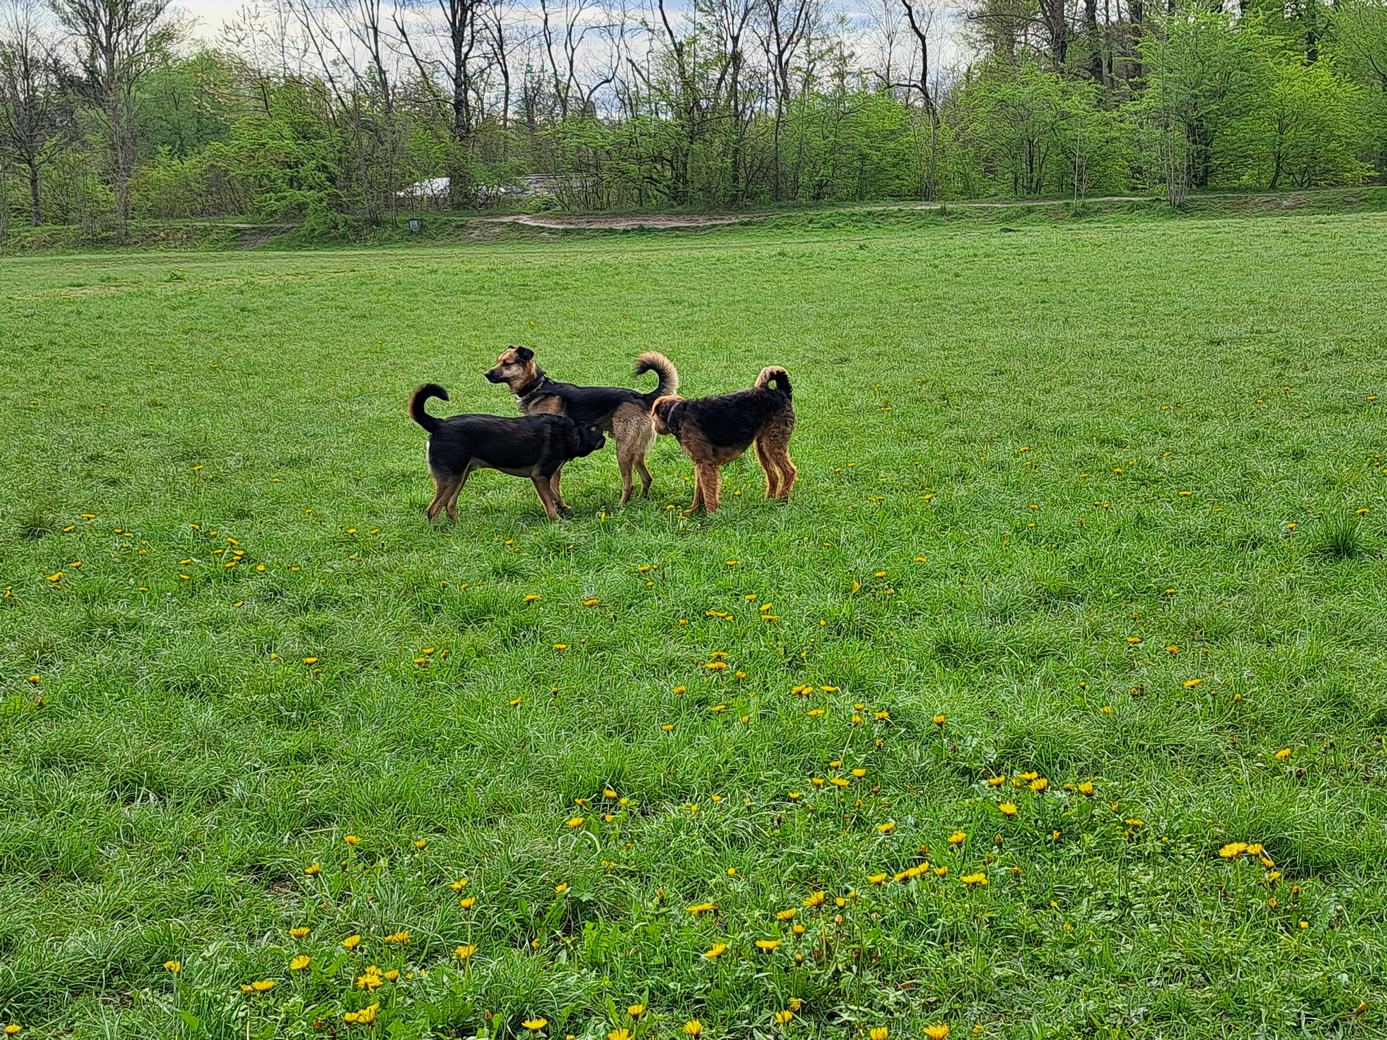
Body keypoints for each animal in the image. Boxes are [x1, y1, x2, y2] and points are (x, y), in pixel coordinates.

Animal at [409, 384, 605, 520]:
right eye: (596, 429)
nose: (604, 438)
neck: (569, 432)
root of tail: (438, 424)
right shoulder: (540, 476)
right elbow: (549, 501)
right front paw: (558, 521)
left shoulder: (546, 478)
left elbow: (555, 495)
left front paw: (564, 509)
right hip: (451, 477)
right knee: (433, 510)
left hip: (460, 475)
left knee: (449, 504)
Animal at [485, 346, 679, 506]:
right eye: (498, 360)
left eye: (507, 363)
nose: (486, 373)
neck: (536, 387)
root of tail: (642, 397)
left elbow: (554, 484)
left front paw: (558, 505)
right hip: (636, 450)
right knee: (647, 478)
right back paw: (640, 499)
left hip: (623, 450)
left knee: (628, 483)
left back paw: (621, 505)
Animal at [650, 366, 796, 515]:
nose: (654, 428)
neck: (675, 414)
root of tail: (781, 392)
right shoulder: (700, 462)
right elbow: (699, 490)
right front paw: (692, 511)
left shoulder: (705, 463)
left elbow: (708, 491)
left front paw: (712, 514)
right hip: (762, 446)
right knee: (773, 475)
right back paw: (768, 501)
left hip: (773, 443)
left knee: (789, 471)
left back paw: (782, 499)